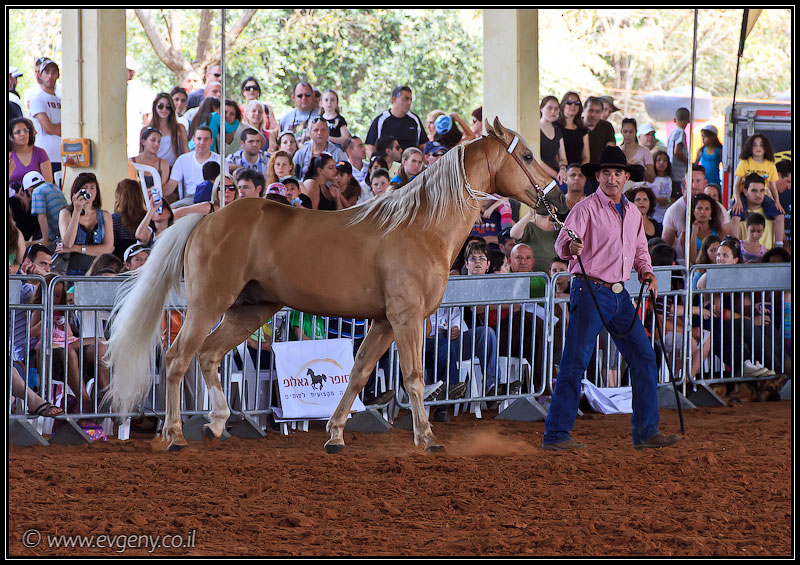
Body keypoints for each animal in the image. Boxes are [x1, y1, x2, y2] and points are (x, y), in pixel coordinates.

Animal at [105, 117, 556, 453]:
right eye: (527, 155)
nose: (554, 200)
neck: (421, 226)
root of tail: (207, 218)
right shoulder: (407, 319)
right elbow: (413, 376)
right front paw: (427, 438)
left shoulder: (384, 322)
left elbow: (358, 373)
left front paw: (335, 434)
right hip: (208, 305)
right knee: (178, 358)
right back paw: (174, 435)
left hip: (250, 309)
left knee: (210, 355)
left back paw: (216, 424)